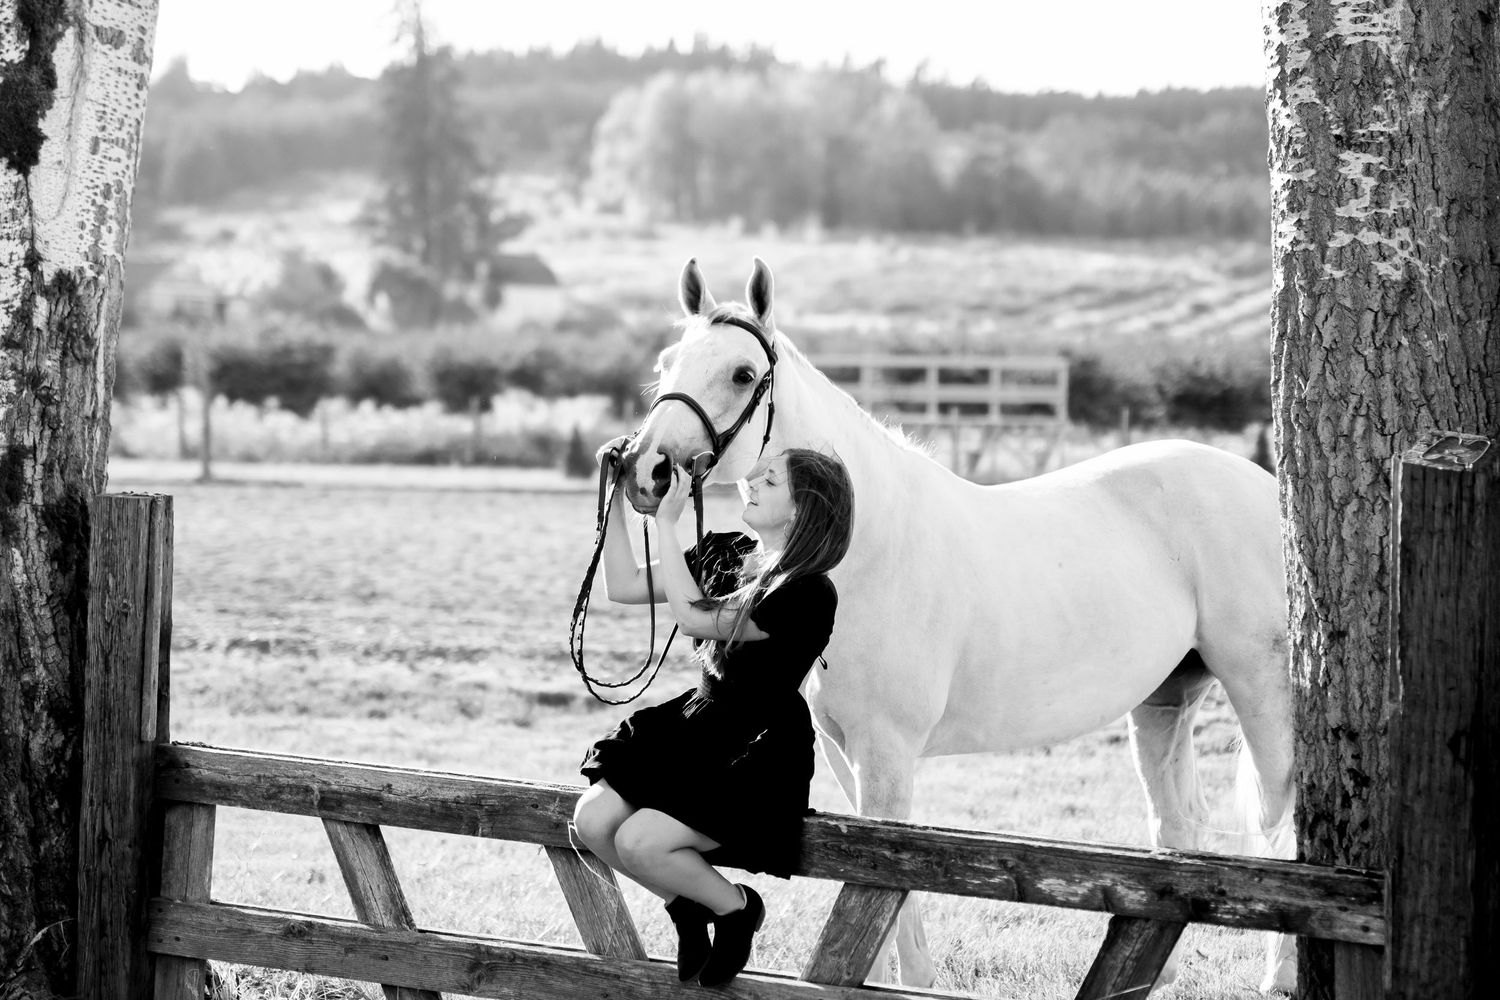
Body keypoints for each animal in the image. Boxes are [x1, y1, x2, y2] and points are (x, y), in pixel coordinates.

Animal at [611, 257, 1297, 993]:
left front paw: (909, 984)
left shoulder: (887, 752)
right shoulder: (844, 748)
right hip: (1166, 699)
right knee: (1179, 828)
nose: (646, 471)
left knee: (1280, 818)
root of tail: (1265, 489)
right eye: (667, 363)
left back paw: (1281, 976)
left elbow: (889, 869)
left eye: (742, 373)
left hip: (1260, 688)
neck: (863, 542)